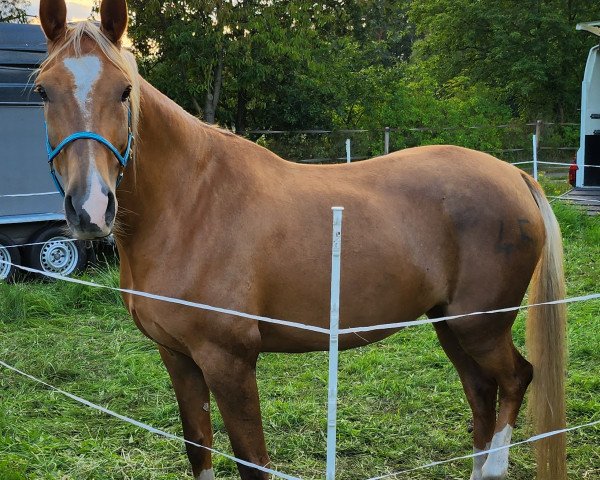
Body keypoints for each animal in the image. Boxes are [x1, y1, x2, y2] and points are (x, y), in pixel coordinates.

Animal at [37, 1, 568, 478]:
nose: (91, 209)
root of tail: (516, 175)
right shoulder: (178, 358)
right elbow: (198, 450)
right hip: (450, 324)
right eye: (43, 91)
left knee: (515, 379)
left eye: (124, 90)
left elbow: (252, 462)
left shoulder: (228, 361)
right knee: (480, 391)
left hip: (481, 326)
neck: (190, 206)